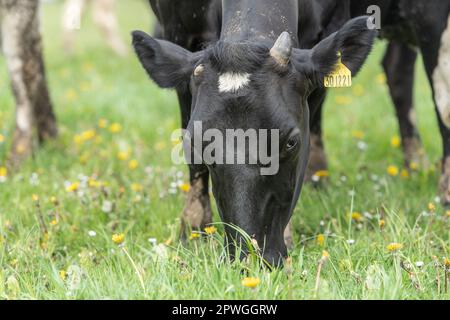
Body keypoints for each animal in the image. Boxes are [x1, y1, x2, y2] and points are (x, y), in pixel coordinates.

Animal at [133, 0, 376, 264]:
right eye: (194, 142)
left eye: (291, 142)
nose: (248, 254)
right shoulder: (179, 30)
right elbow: (195, 167)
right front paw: (193, 233)